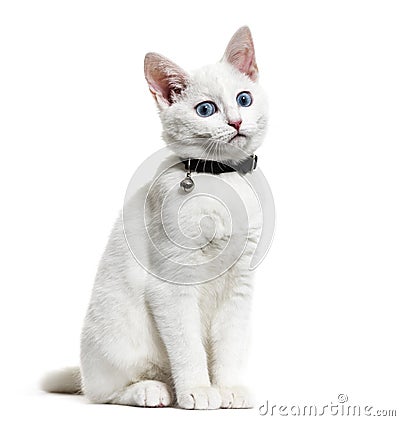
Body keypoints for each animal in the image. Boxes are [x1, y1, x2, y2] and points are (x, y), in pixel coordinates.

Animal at [41, 25, 268, 406]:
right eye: (205, 109)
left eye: (244, 99)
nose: (236, 121)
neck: (220, 178)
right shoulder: (172, 285)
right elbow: (188, 347)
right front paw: (199, 391)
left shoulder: (240, 285)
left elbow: (231, 343)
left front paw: (228, 389)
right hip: (118, 339)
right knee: (105, 392)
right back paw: (155, 390)